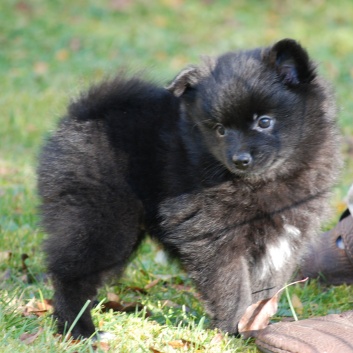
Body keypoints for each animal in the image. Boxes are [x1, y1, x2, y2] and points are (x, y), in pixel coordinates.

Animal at [37, 37, 340, 336]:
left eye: (264, 122)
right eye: (220, 129)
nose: (240, 159)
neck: (264, 182)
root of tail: (83, 111)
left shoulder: (284, 238)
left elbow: (264, 290)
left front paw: (255, 325)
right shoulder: (214, 236)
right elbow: (231, 286)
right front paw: (234, 331)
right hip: (102, 218)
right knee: (71, 275)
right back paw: (80, 329)